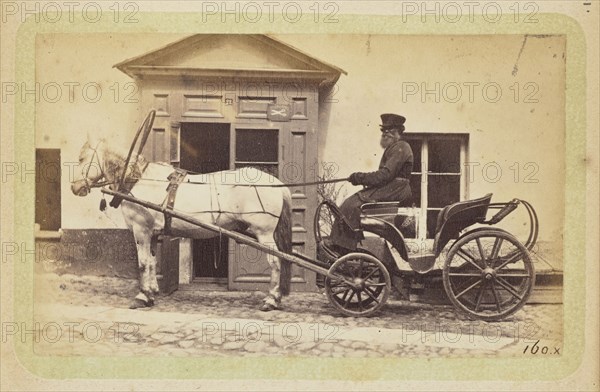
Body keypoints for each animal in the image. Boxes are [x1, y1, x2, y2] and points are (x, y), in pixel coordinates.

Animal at [70, 135, 292, 312]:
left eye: (82, 158)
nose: (74, 187)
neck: (138, 179)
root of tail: (277, 183)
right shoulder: (152, 233)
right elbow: (152, 262)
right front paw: (151, 293)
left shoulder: (141, 230)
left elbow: (143, 263)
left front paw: (141, 297)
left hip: (264, 234)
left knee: (276, 262)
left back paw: (271, 299)